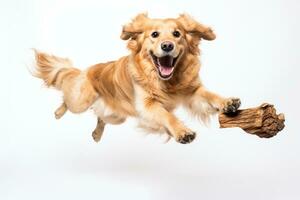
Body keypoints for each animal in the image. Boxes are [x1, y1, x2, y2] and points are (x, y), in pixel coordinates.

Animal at [33, 13, 239, 144]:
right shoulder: (148, 105)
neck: (167, 82)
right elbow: (166, 115)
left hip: (116, 116)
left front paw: (227, 102)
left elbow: (209, 95)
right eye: (154, 34)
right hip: (80, 101)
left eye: (177, 34)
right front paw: (182, 131)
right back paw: (58, 112)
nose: (167, 45)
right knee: (66, 96)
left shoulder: (192, 92)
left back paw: (97, 134)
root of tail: (88, 70)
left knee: (100, 117)